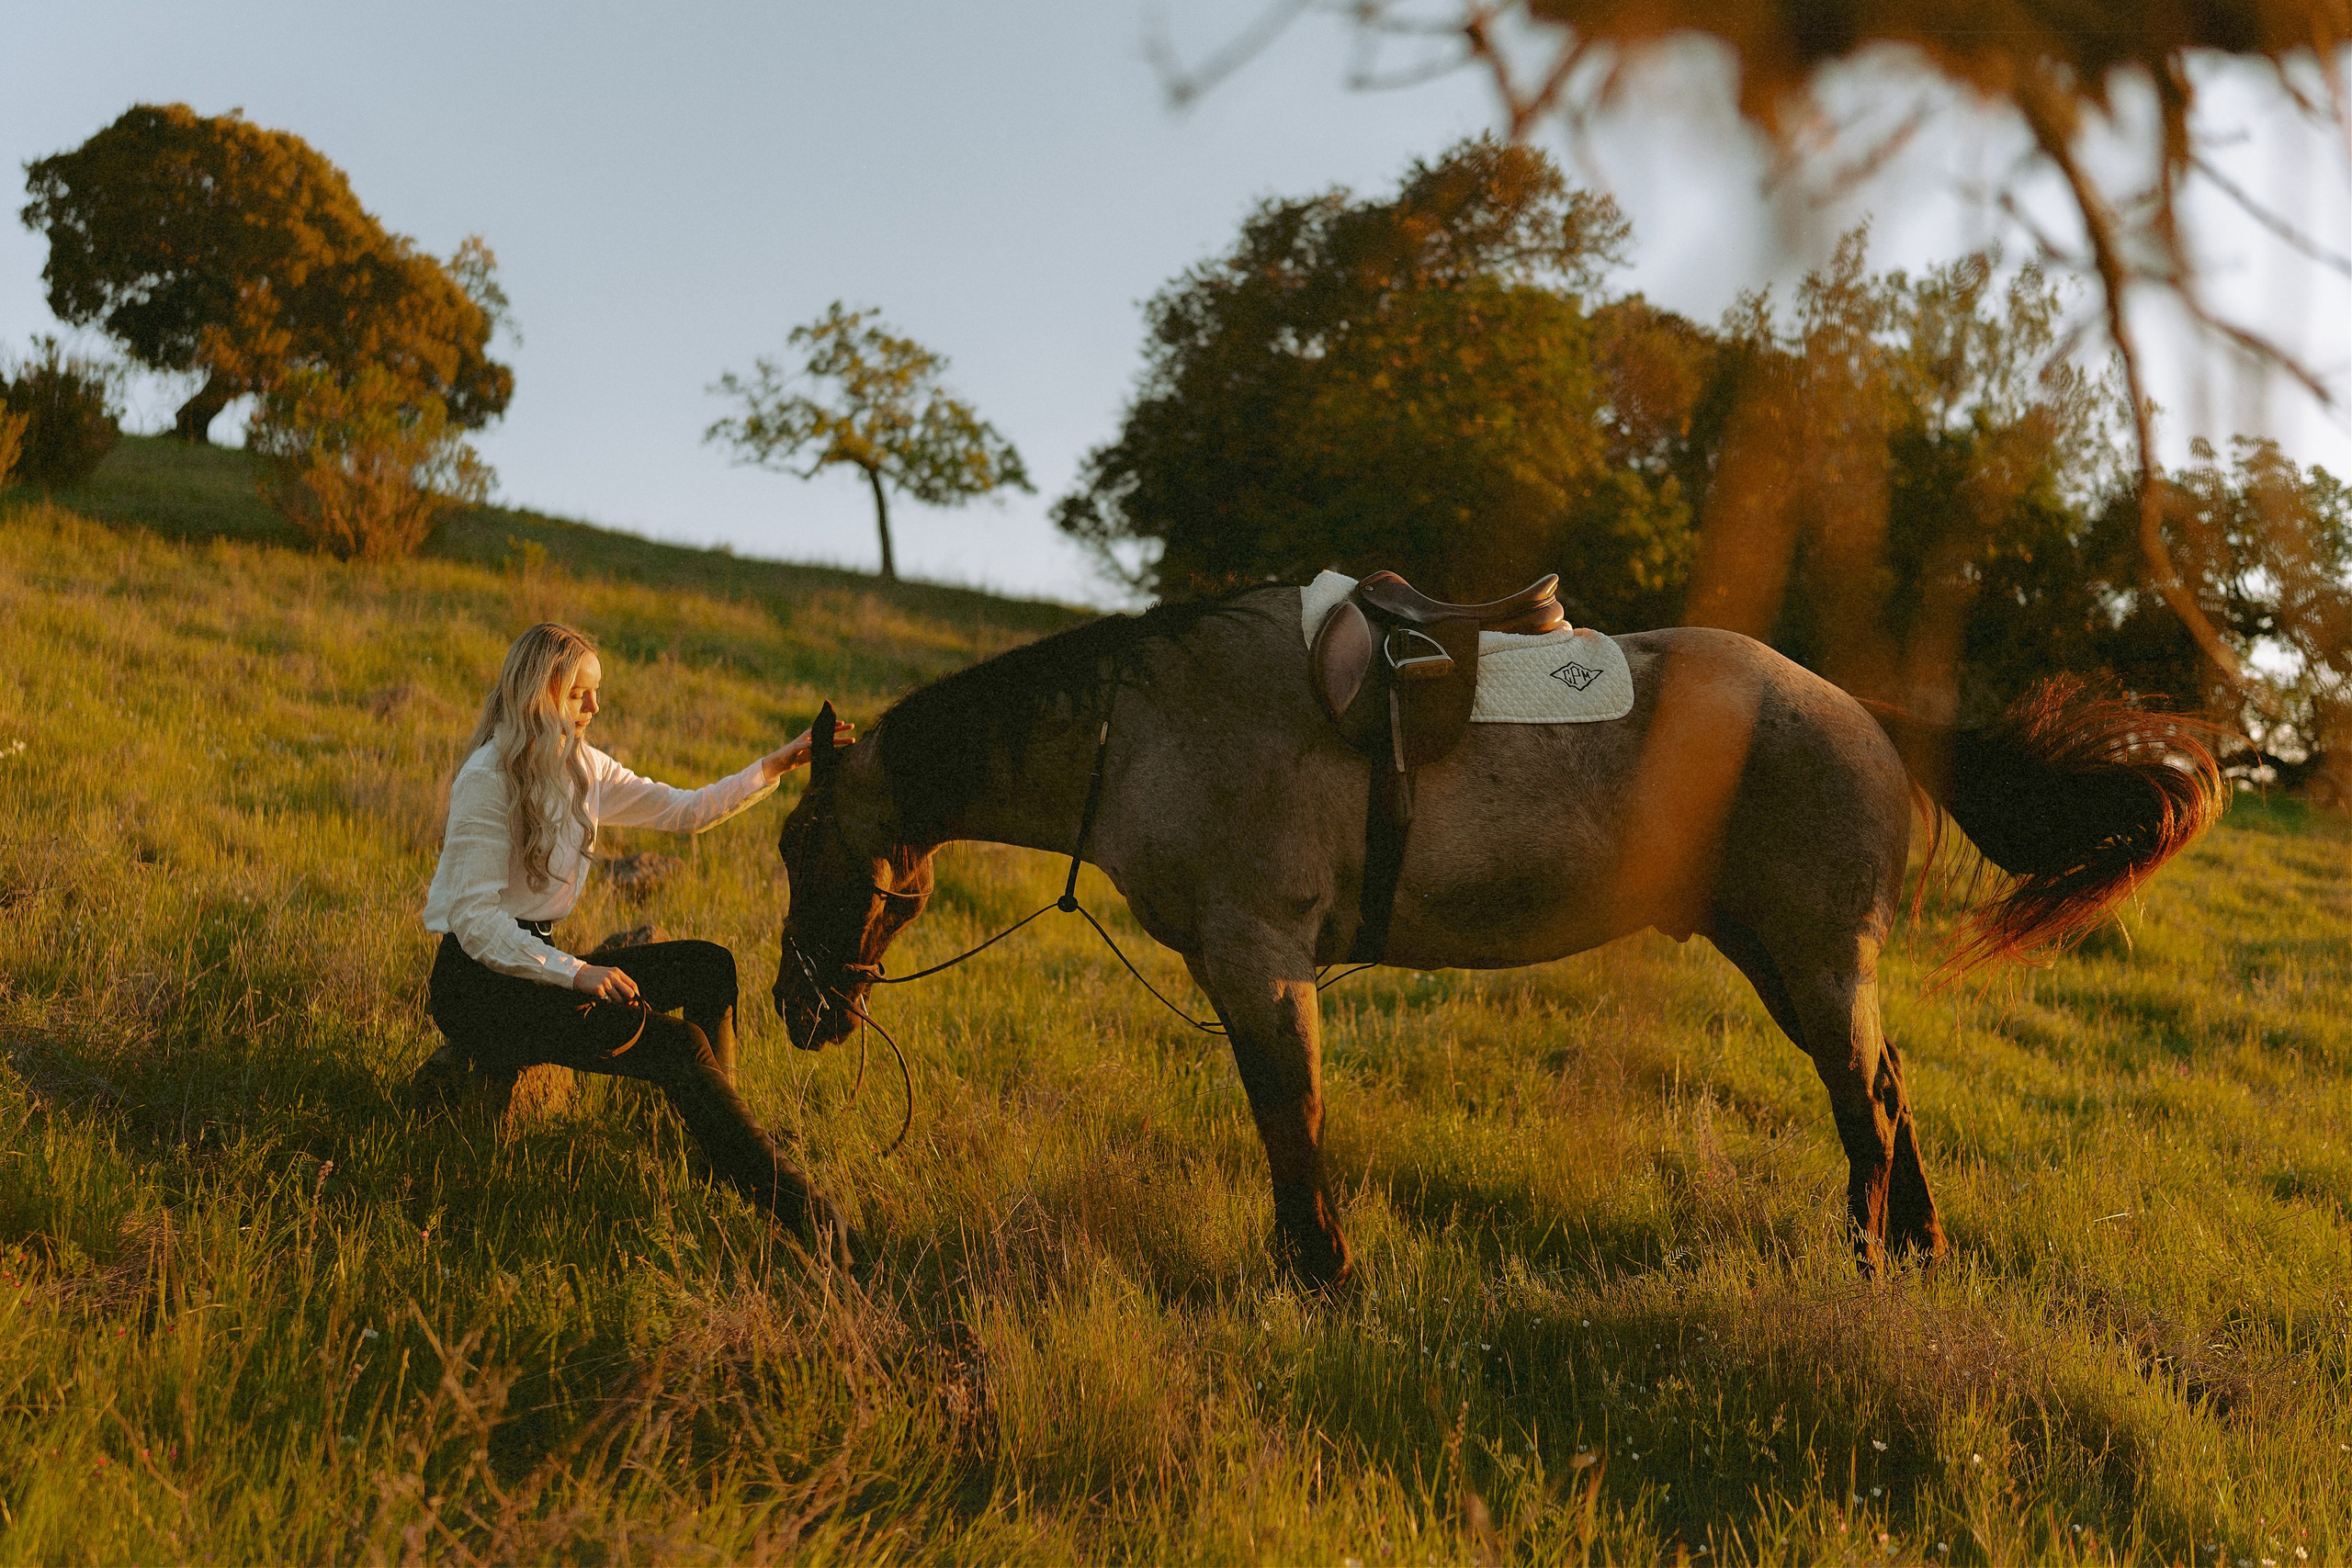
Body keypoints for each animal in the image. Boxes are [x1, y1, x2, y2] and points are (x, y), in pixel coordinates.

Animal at [771, 585, 2223, 1289]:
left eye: (796, 846)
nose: (799, 1008)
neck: (1148, 727)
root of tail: (1863, 707)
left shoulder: (1262, 961)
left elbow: (1290, 1118)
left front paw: (1321, 1275)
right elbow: (1282, 1119)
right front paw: (1309, 1266)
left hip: (1813, 959)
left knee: (1863, 1105)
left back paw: (1869, 1260)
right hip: (1779, 955)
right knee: (1888, 1084)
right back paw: (1918, 1247)